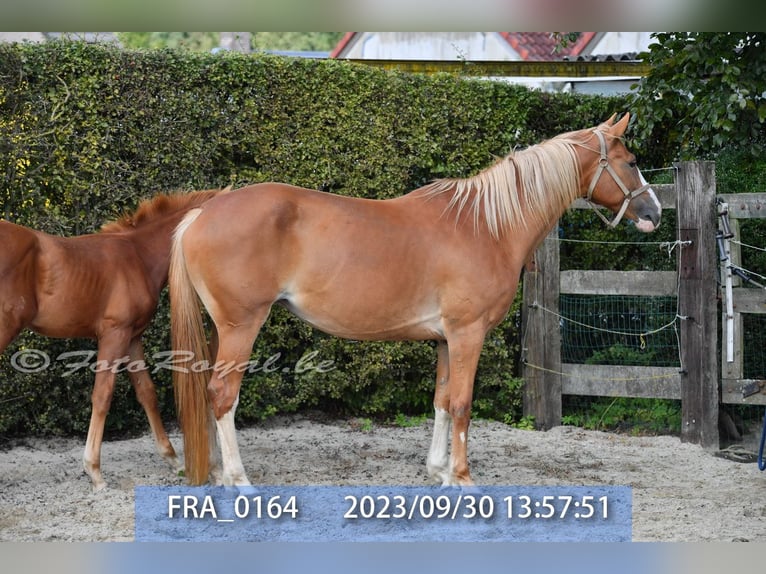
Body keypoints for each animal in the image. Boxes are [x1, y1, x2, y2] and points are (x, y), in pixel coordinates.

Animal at [0, 187, 227, 490]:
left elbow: (146, 392)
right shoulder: (114, 334)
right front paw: (94, 470)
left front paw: (172, 458)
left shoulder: (133, 337)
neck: (138, 256)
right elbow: (103, 394)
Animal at [169, 113, 661, 487]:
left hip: (219, 330)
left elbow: (442, 402)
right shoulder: (467, 335)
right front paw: (462, 477)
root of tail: (202, 213)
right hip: (241, 327)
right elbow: (462, 405)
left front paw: (438, 471)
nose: (654, 213)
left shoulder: (444, 339)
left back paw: (218, 473)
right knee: (222, 395)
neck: (486, 226)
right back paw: (238, 480)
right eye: (632, 162)